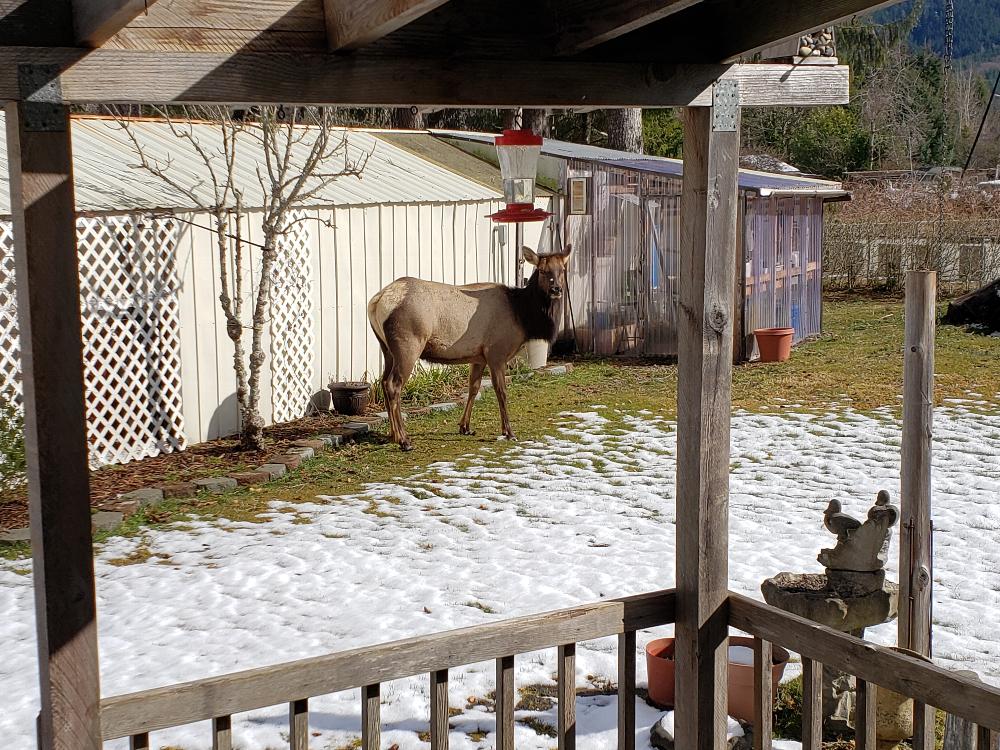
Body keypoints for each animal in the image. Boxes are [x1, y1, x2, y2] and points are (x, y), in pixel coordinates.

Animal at [367, 245, 571, 451]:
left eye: (562, 270)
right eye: (542, 271)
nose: (556, 289)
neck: (523, 316)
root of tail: (377, 301)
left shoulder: (479, 356)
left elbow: (473, 387)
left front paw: (465, 427)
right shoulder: (496, 352)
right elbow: (502, 391)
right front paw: (508, 432)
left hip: (386, 348)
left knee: (383, 382)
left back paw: (393, 435)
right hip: (408, 344)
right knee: (394, 385)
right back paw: (404, 440)